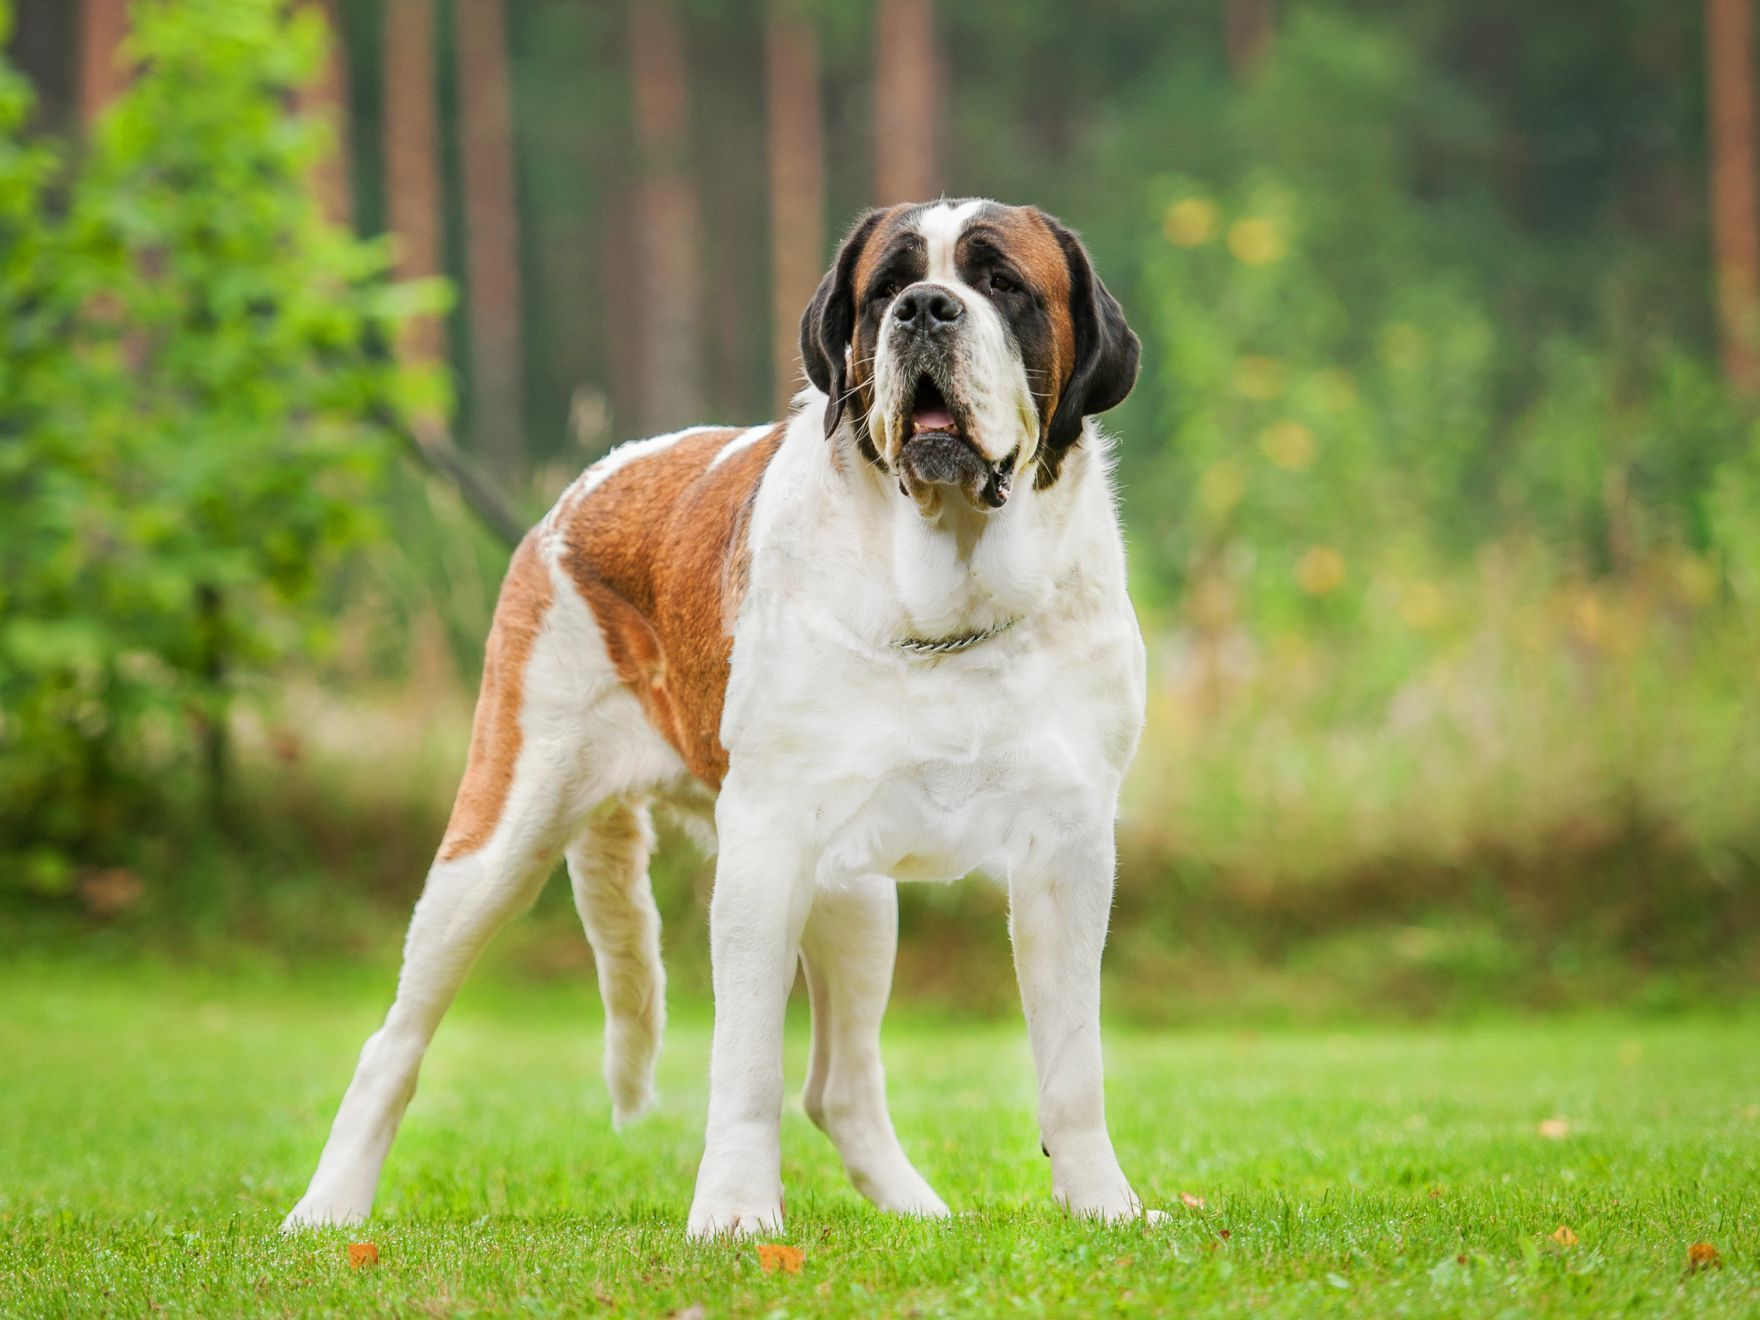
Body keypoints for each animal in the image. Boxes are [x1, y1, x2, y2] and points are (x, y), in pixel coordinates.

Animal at [281, 198, 1147, 1239]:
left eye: (1002, 284)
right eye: (887, 290)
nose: (926, 310)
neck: (947, 600)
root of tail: (581, 491)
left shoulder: (1069, 849)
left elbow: (1075, 1064)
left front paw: (1105, 1207)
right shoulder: (766, 847)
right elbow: (745, 1064)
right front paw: (735, 1214)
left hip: (858, 895)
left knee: (841, 1087)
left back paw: (917, 1212)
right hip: (495, 845)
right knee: (394, 1042)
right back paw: (327, 1209)